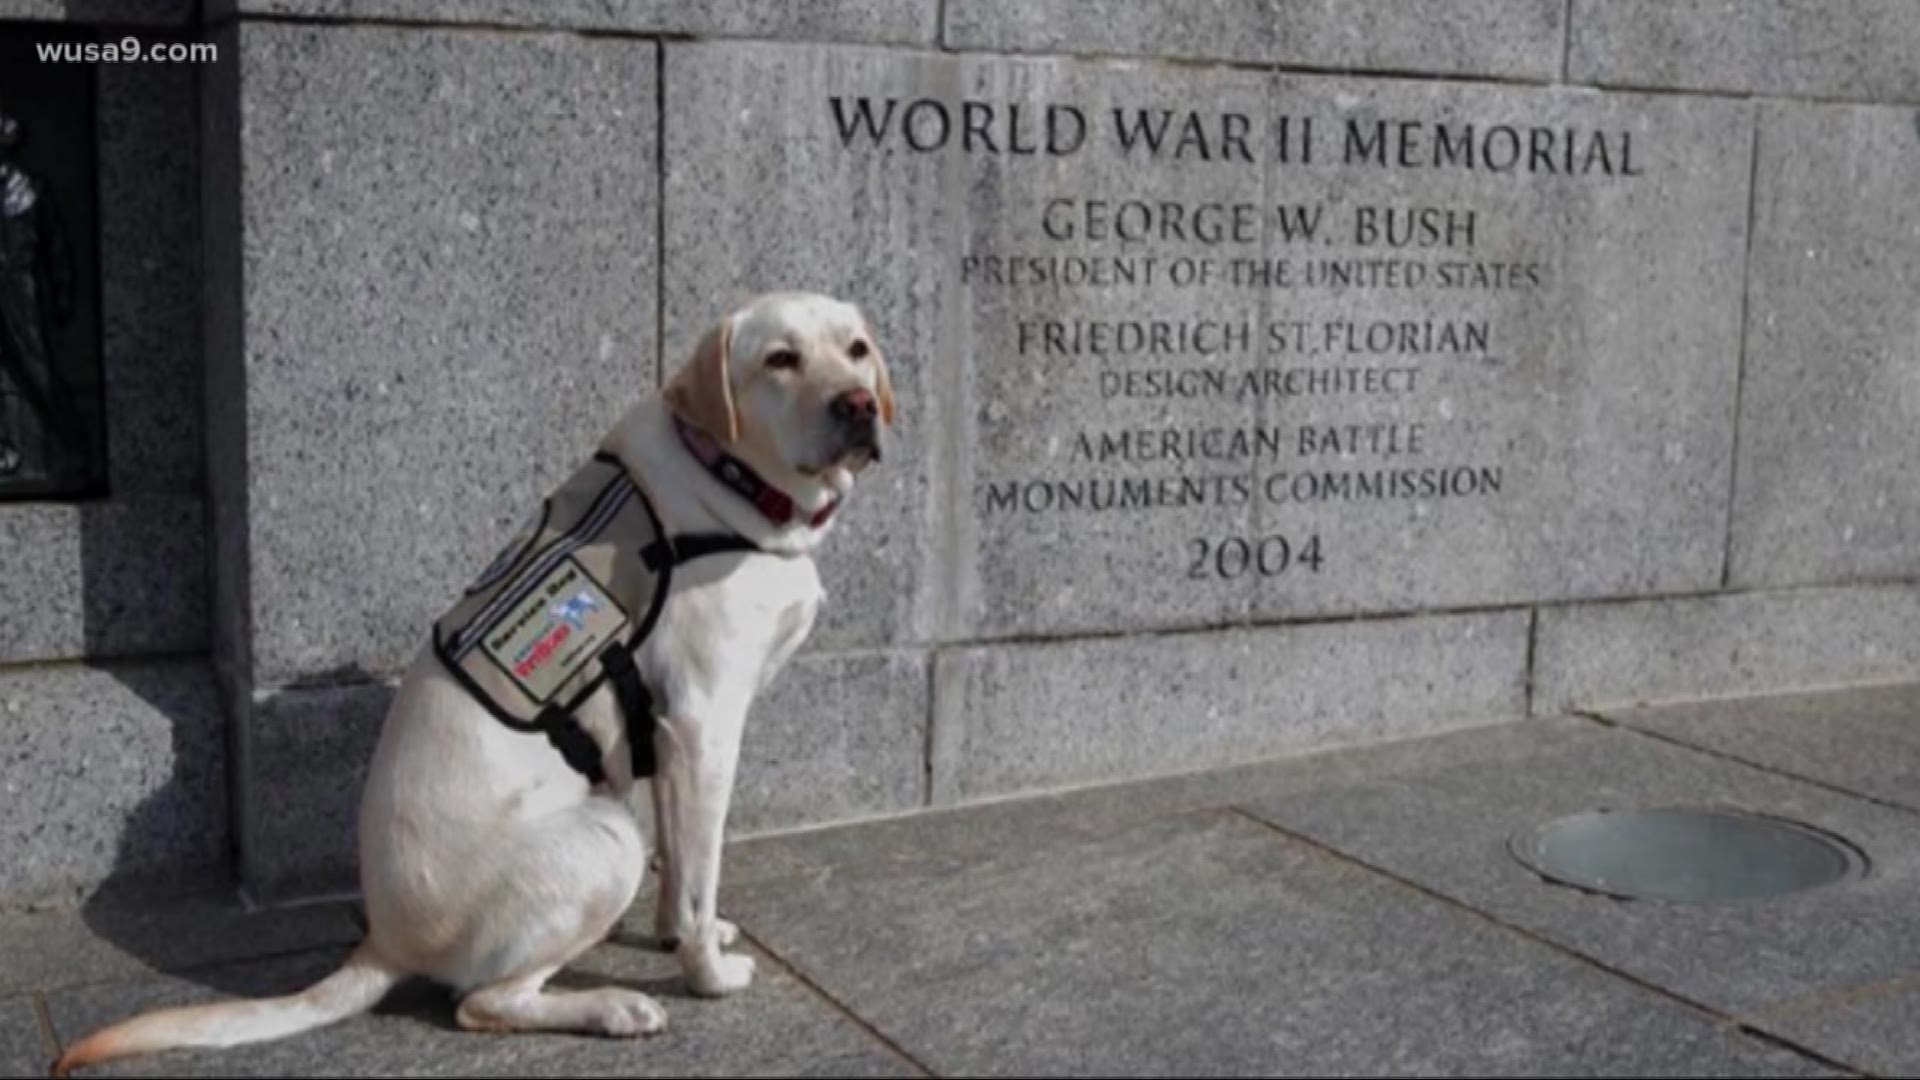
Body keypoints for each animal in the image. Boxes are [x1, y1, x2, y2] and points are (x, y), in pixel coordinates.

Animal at [56, 290, 894, 1068]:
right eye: (780, 359)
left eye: (855, 350)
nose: (858, 404)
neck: (730, 477)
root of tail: (386, 939)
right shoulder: (702, 724)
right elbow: (697, 873)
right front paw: (706, 971)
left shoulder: (667, 738)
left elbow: (684, 867)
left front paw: (679, 935)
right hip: (604, 837)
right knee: (484, 1003)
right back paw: (612, 1007)